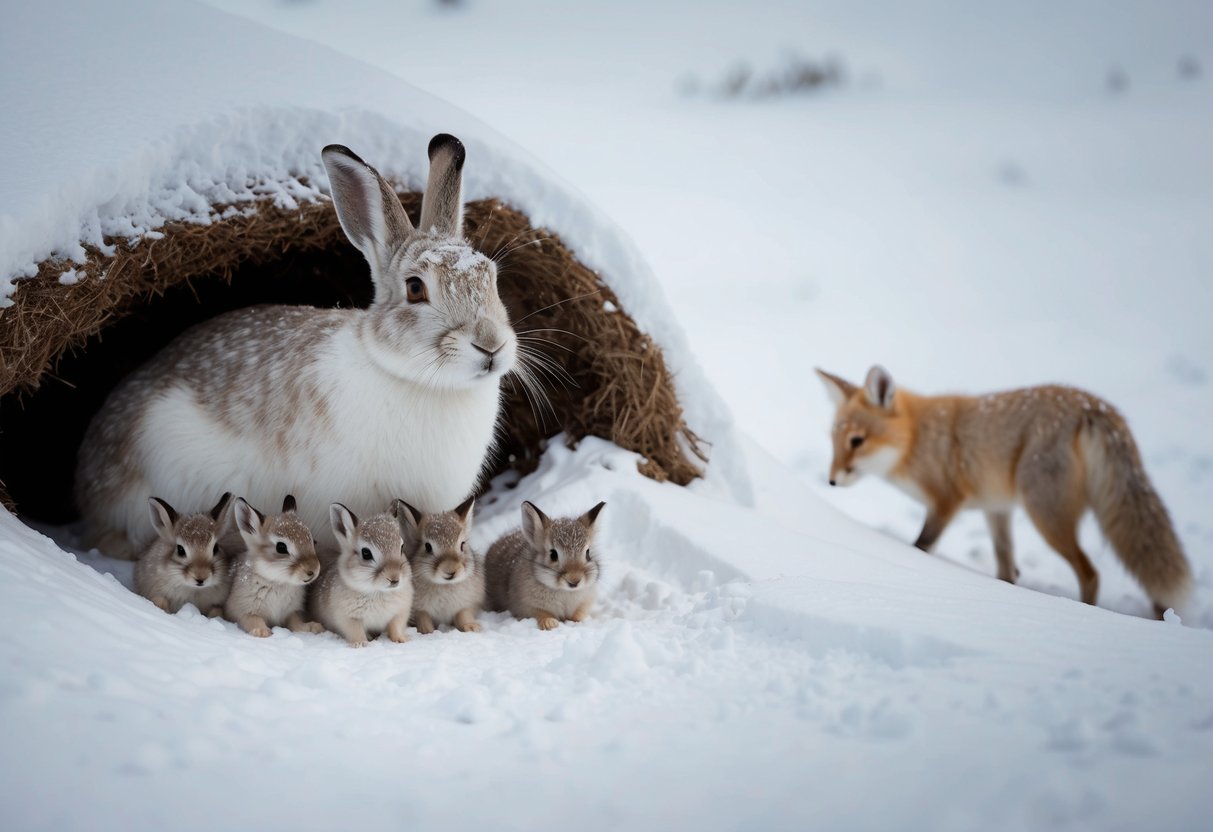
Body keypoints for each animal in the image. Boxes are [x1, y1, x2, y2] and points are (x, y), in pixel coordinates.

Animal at [225, 495, 324, 637]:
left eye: (313, 541)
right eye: (281, 547)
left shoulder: (291, 612)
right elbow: (252, 619)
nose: (313, 570)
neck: (277, 581)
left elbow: (295, 622)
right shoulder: (242, 609)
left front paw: (310, 628)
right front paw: (262, 631)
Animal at [310, 503, 413, 647]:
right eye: (366, 553)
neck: (377, 591)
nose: (394, 579)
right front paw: (361, 643)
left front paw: (401, 639)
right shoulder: (348, 618)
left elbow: (395, 627)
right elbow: (356, 631)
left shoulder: (399, 613)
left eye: (402, 548)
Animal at [395, 495, 484, 634]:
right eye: (427, 547)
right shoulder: (419, 610)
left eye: (462, 545)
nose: (451, 571)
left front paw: (472, 627)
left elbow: (463, 614)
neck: (444, 585)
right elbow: (423, 618)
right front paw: (427, 632)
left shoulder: (465, 604)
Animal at [485, 501, 606, 630]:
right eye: (553, 554)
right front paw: (550, 623)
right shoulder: (527, 606)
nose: (574, 581)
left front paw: (577, 621)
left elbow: (577, 614)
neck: (564, 590)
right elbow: (541, 614)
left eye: (588, 553)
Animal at [815, 364, 1192, 617]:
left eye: (857, 442)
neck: (917, 439)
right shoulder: (996, 508)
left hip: (1046, 516)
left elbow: (921, 547)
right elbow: (1006, 569)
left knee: (1091, 573)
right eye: (834, 441)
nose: (831, 481)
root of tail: (1092, 404)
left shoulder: (945, 501)